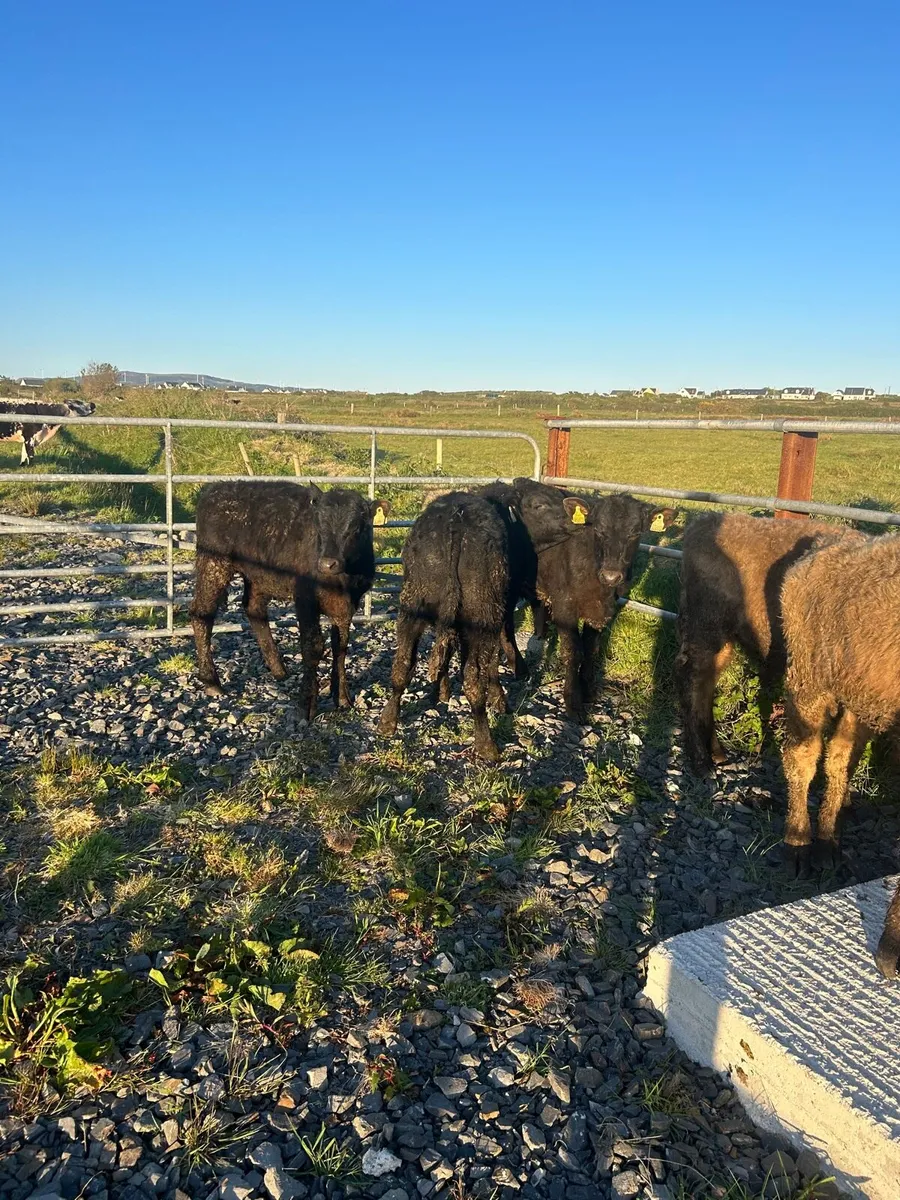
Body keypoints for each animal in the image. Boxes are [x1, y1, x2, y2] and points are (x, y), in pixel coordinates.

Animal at [189, 481, 388, 720]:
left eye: (356, 529)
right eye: (319, 526)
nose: (327, 563)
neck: (342, 581)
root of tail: (215, 488)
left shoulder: (347, 606)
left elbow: (340, 647)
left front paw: (342, 698)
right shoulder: (305, 599)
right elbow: (313, 647)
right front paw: (307, 704)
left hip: (258, 575)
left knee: (254, 609)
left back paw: (279, 670)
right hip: (213, 563)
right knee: (202, 614)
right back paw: (211, 680)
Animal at [377, 491, 508, 761]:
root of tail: (456, 523)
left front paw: (439, 692)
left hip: (411, 606)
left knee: (402, 664)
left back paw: (386, 722)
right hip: (483, 620)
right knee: (473, 680)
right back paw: (487, 746)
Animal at [674, 513, 866, 776]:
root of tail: (702, 523)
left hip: (722, 638)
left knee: (704, 684)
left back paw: (717, 753)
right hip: (706, 628)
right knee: (692, 681)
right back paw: (702, 761)